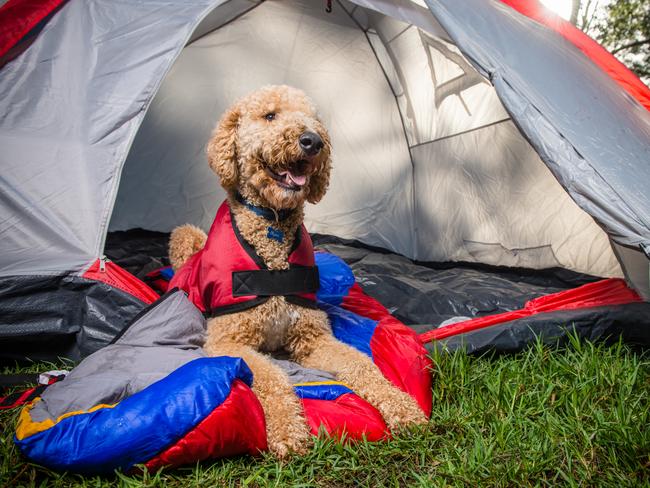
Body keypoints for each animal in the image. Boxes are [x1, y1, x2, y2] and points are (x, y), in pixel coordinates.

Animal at [167, 85, 426, 458]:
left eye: (313, 118)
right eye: (270, 115)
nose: (312, 140)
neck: (273, 228)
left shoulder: (312, 338)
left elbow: (362, 364)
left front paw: (402, 408)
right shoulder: (229, 341)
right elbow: (272, 378)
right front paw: (288, 431)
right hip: (183, 239)